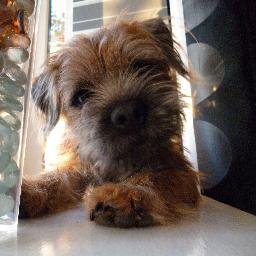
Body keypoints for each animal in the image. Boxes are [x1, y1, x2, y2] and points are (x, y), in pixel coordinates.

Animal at [19, 18, 200, 227]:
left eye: (143, 67)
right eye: (81, 97)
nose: (127, 113)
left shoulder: (178, 169)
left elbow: (157, 176)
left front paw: (128, 192)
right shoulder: (82, 168)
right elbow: (58, 176)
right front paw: (28, 189)